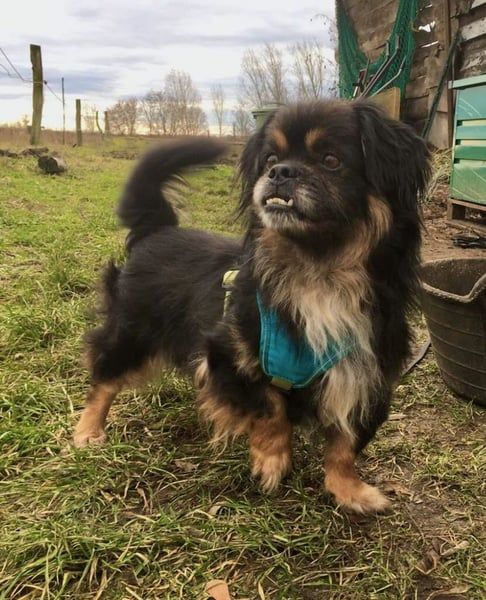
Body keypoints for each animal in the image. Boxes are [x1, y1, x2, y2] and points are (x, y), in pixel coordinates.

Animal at [73, 100, 430, 514]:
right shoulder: (225, 355)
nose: (280, 172)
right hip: (132, 333)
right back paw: (88, 430)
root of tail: (158, 229)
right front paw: (271, 460)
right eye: (270, 159)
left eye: (331, 160)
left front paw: (349, 490)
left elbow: (345, 444)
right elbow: (269, 407)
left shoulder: (364, 376)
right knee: (104, 377)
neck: (319, 271)